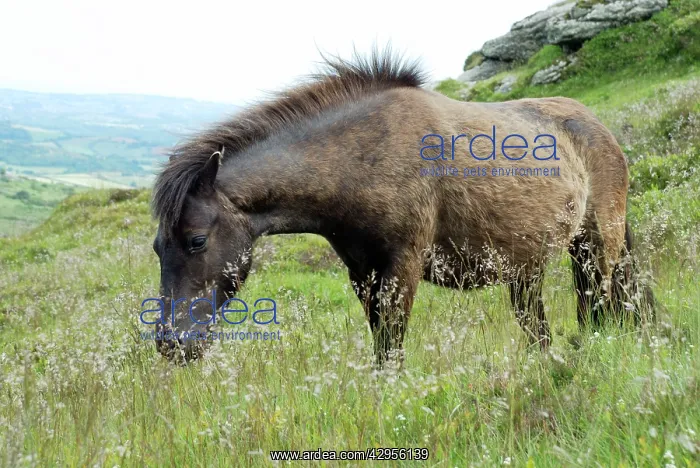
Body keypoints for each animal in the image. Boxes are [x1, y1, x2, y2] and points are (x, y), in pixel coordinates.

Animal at [150, 49, 655, 363]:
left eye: (196, 240)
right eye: (158, 247)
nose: (172, 344)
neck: (363, 157)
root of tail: (601, 130)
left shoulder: (403, 265)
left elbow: (390, 345)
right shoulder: (363, 272)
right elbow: (380, 341)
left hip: (595, 249)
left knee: (599, 308)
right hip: (527, 270)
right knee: (539, 330)